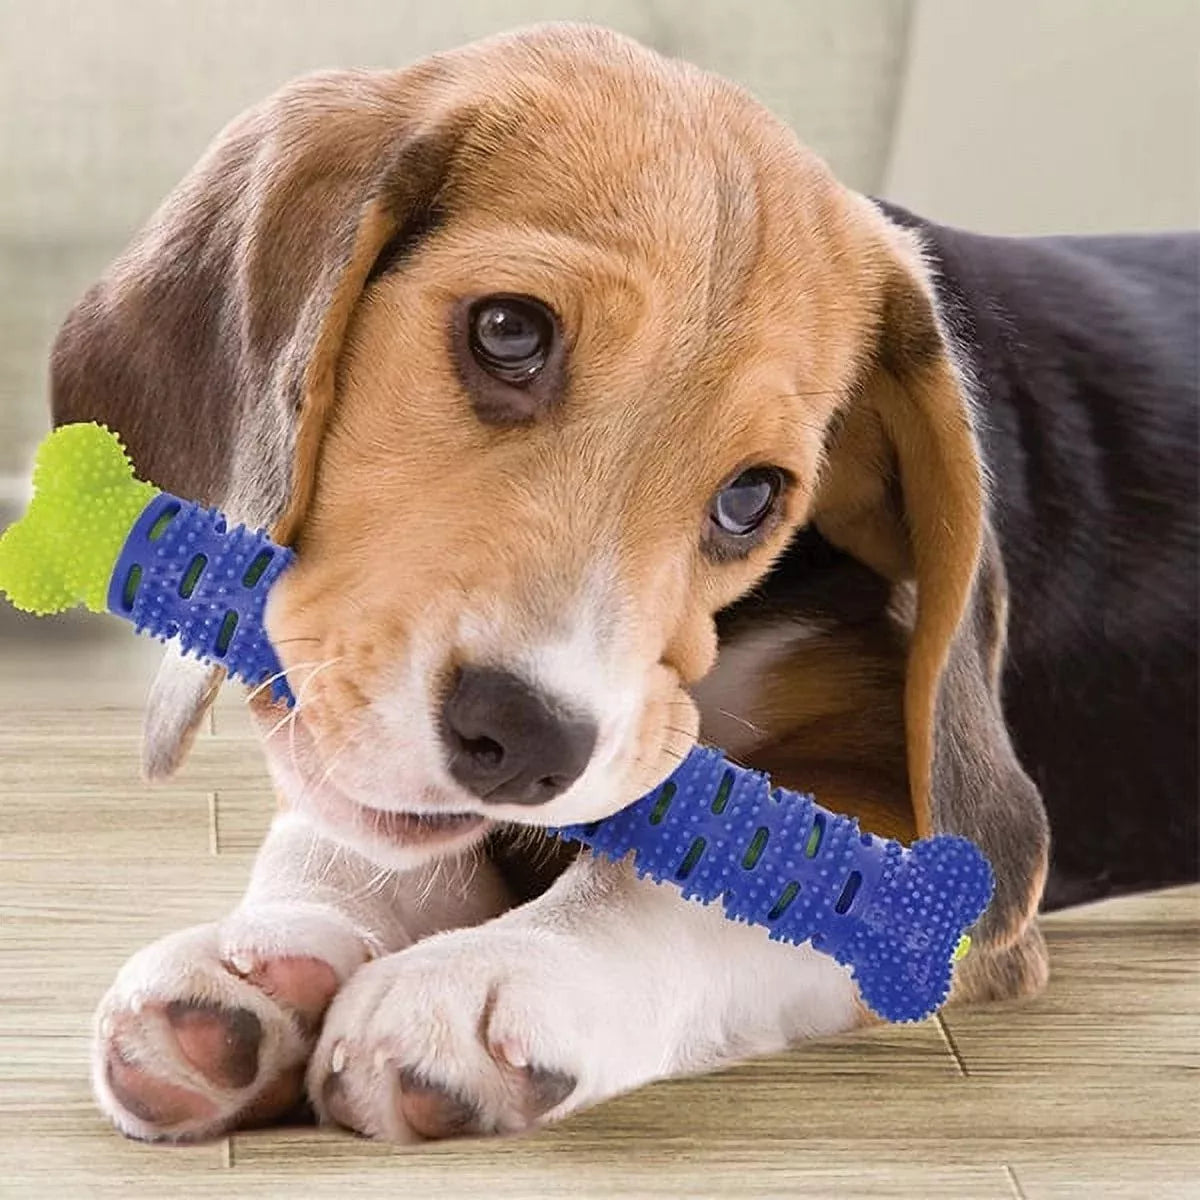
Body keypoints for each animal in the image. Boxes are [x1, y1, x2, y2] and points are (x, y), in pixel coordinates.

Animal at [58, 23, 1200, 1137]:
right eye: (508, 331)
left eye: (752, 499)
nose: (529, 740)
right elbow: (343, 840)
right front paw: (264, 957)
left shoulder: (923, 864)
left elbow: (684, 880)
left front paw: (489, 972)